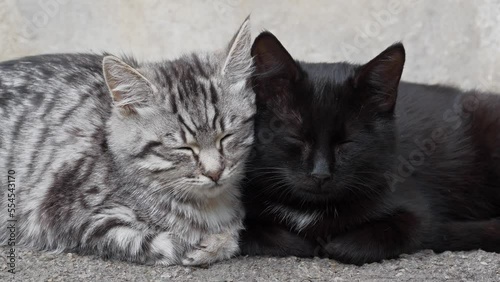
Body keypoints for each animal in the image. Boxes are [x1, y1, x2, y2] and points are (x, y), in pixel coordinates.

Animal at [0, 18, 256, 266]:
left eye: (226, 136)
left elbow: (233, 233)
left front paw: (217, 241)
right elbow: (163, 244)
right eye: (183, 148)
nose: (215, 172)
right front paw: (199, 245)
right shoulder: (71, 216)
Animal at [239, 32, 500, 266]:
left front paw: (337, 245)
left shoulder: (415, 208)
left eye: (348, 142)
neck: (309, 208)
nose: (320, 174)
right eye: (296, 137)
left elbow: (407, 228)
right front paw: (301, 243)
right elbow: (245, 233)